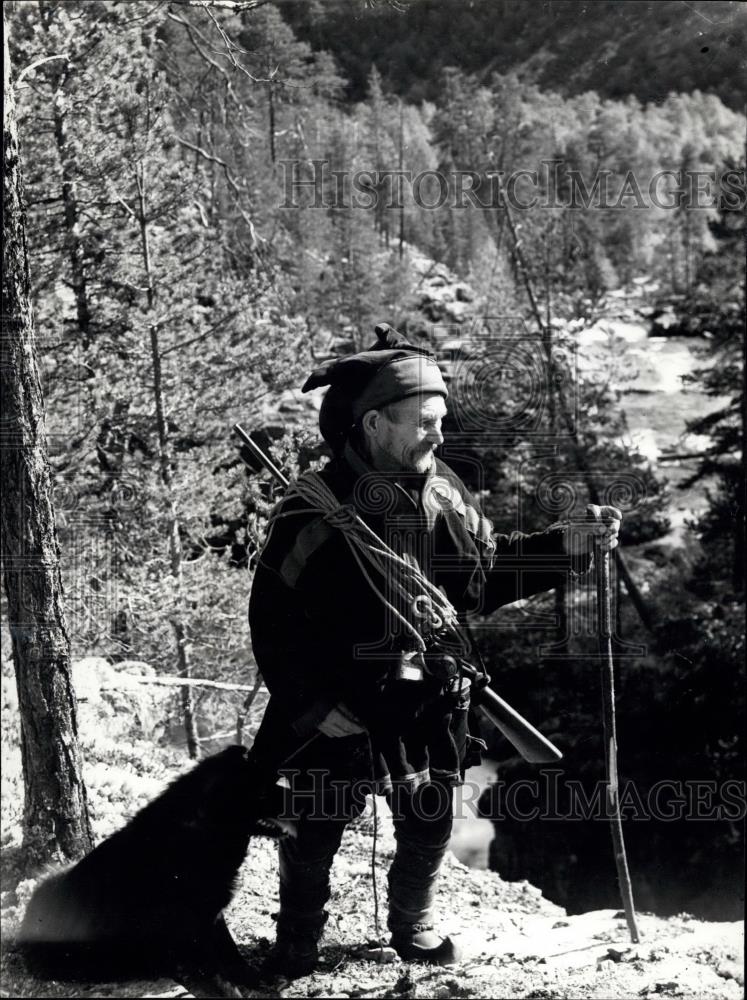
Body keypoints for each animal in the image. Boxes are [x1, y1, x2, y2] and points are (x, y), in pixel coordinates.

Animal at [18, 748, 286, 996]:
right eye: (262, 790)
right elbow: (216, 969)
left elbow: (231, 952)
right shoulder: (191, 925)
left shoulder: (211, 913)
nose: (296, 798)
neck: (197, 832)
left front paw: (255, 977)